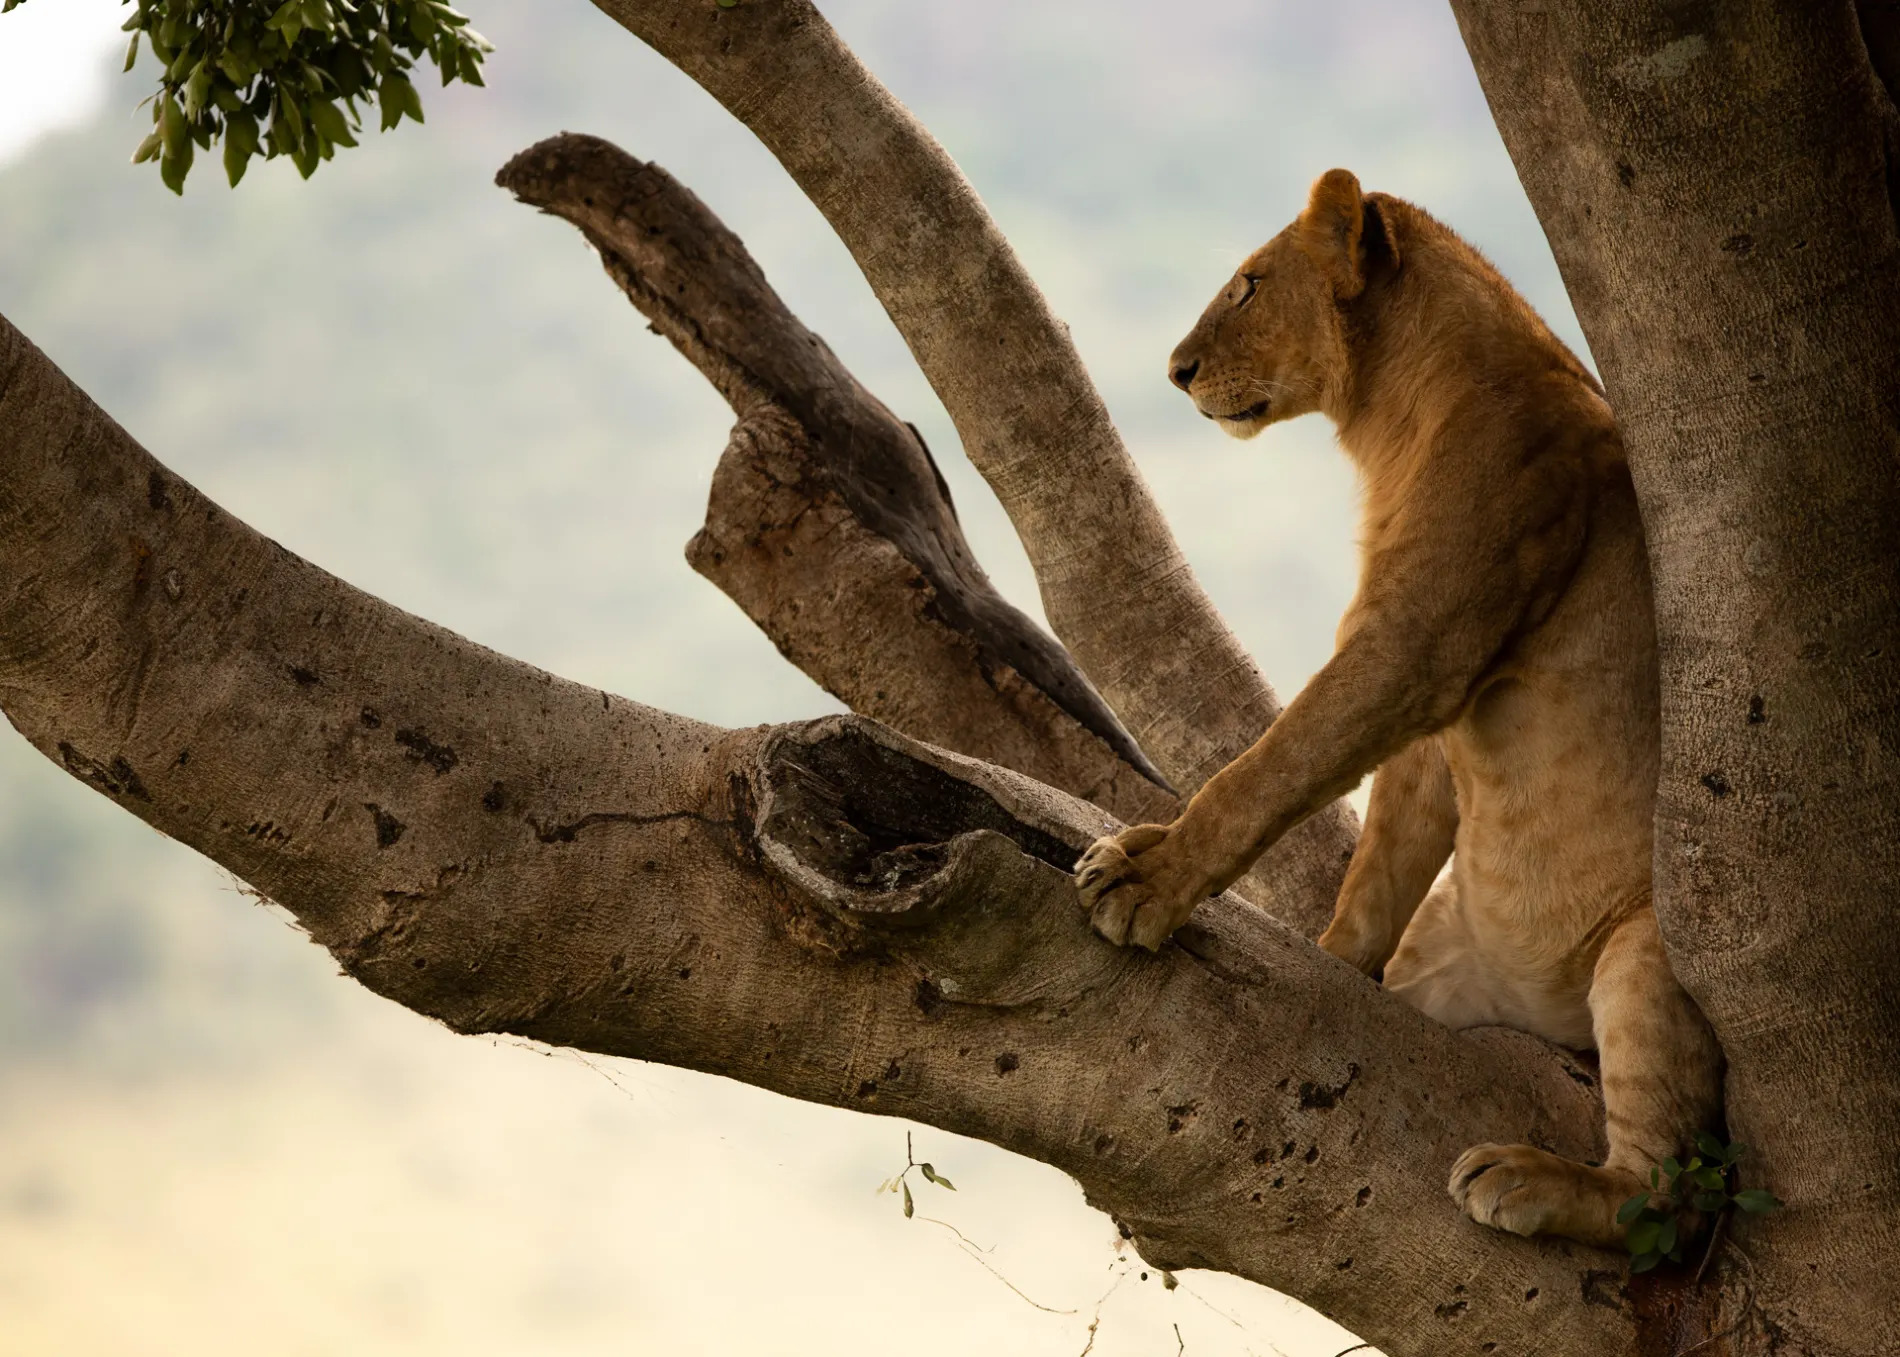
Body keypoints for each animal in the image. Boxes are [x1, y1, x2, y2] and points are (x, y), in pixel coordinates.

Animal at [1079, 169, 1732, 1246]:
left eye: (1250, 284)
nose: (1177, 371)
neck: (1391, 415)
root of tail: (1549, 1015)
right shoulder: (1430, 714)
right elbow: (1381, 849)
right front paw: (1334, 956)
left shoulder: (1413, 646)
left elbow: (1267, 771)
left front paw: (1148, 878)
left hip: (1646, 952)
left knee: (1669, 1200)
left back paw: (1531, 1178)